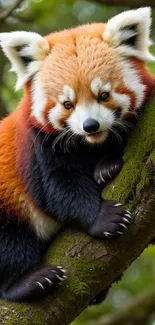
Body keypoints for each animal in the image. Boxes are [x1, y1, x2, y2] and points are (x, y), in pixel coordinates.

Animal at [0, 6, 154, 302]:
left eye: (104, 95)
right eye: (67, 104)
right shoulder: (38, 144)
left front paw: (106, 167)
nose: (90, 125)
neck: (93, 144)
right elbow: (58, 188)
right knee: (11, 244)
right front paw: (104, 218)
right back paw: (27, 283)